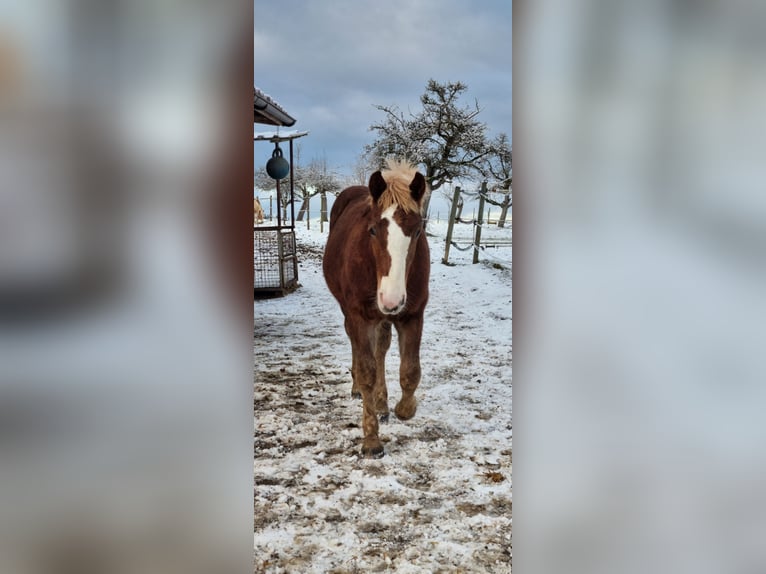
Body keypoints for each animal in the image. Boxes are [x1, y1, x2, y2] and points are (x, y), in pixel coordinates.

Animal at [322, 159, 432, 460]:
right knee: (359, 350)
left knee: (381, 348)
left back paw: (382, 404)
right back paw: (358, 390)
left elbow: (410, 370)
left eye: (417, 231)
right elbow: (367, 372)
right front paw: (371, 440)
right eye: (372, 230)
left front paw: (403, 409)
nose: (391, 300)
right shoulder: (360, 316)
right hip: (353, 313)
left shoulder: (412, 315)